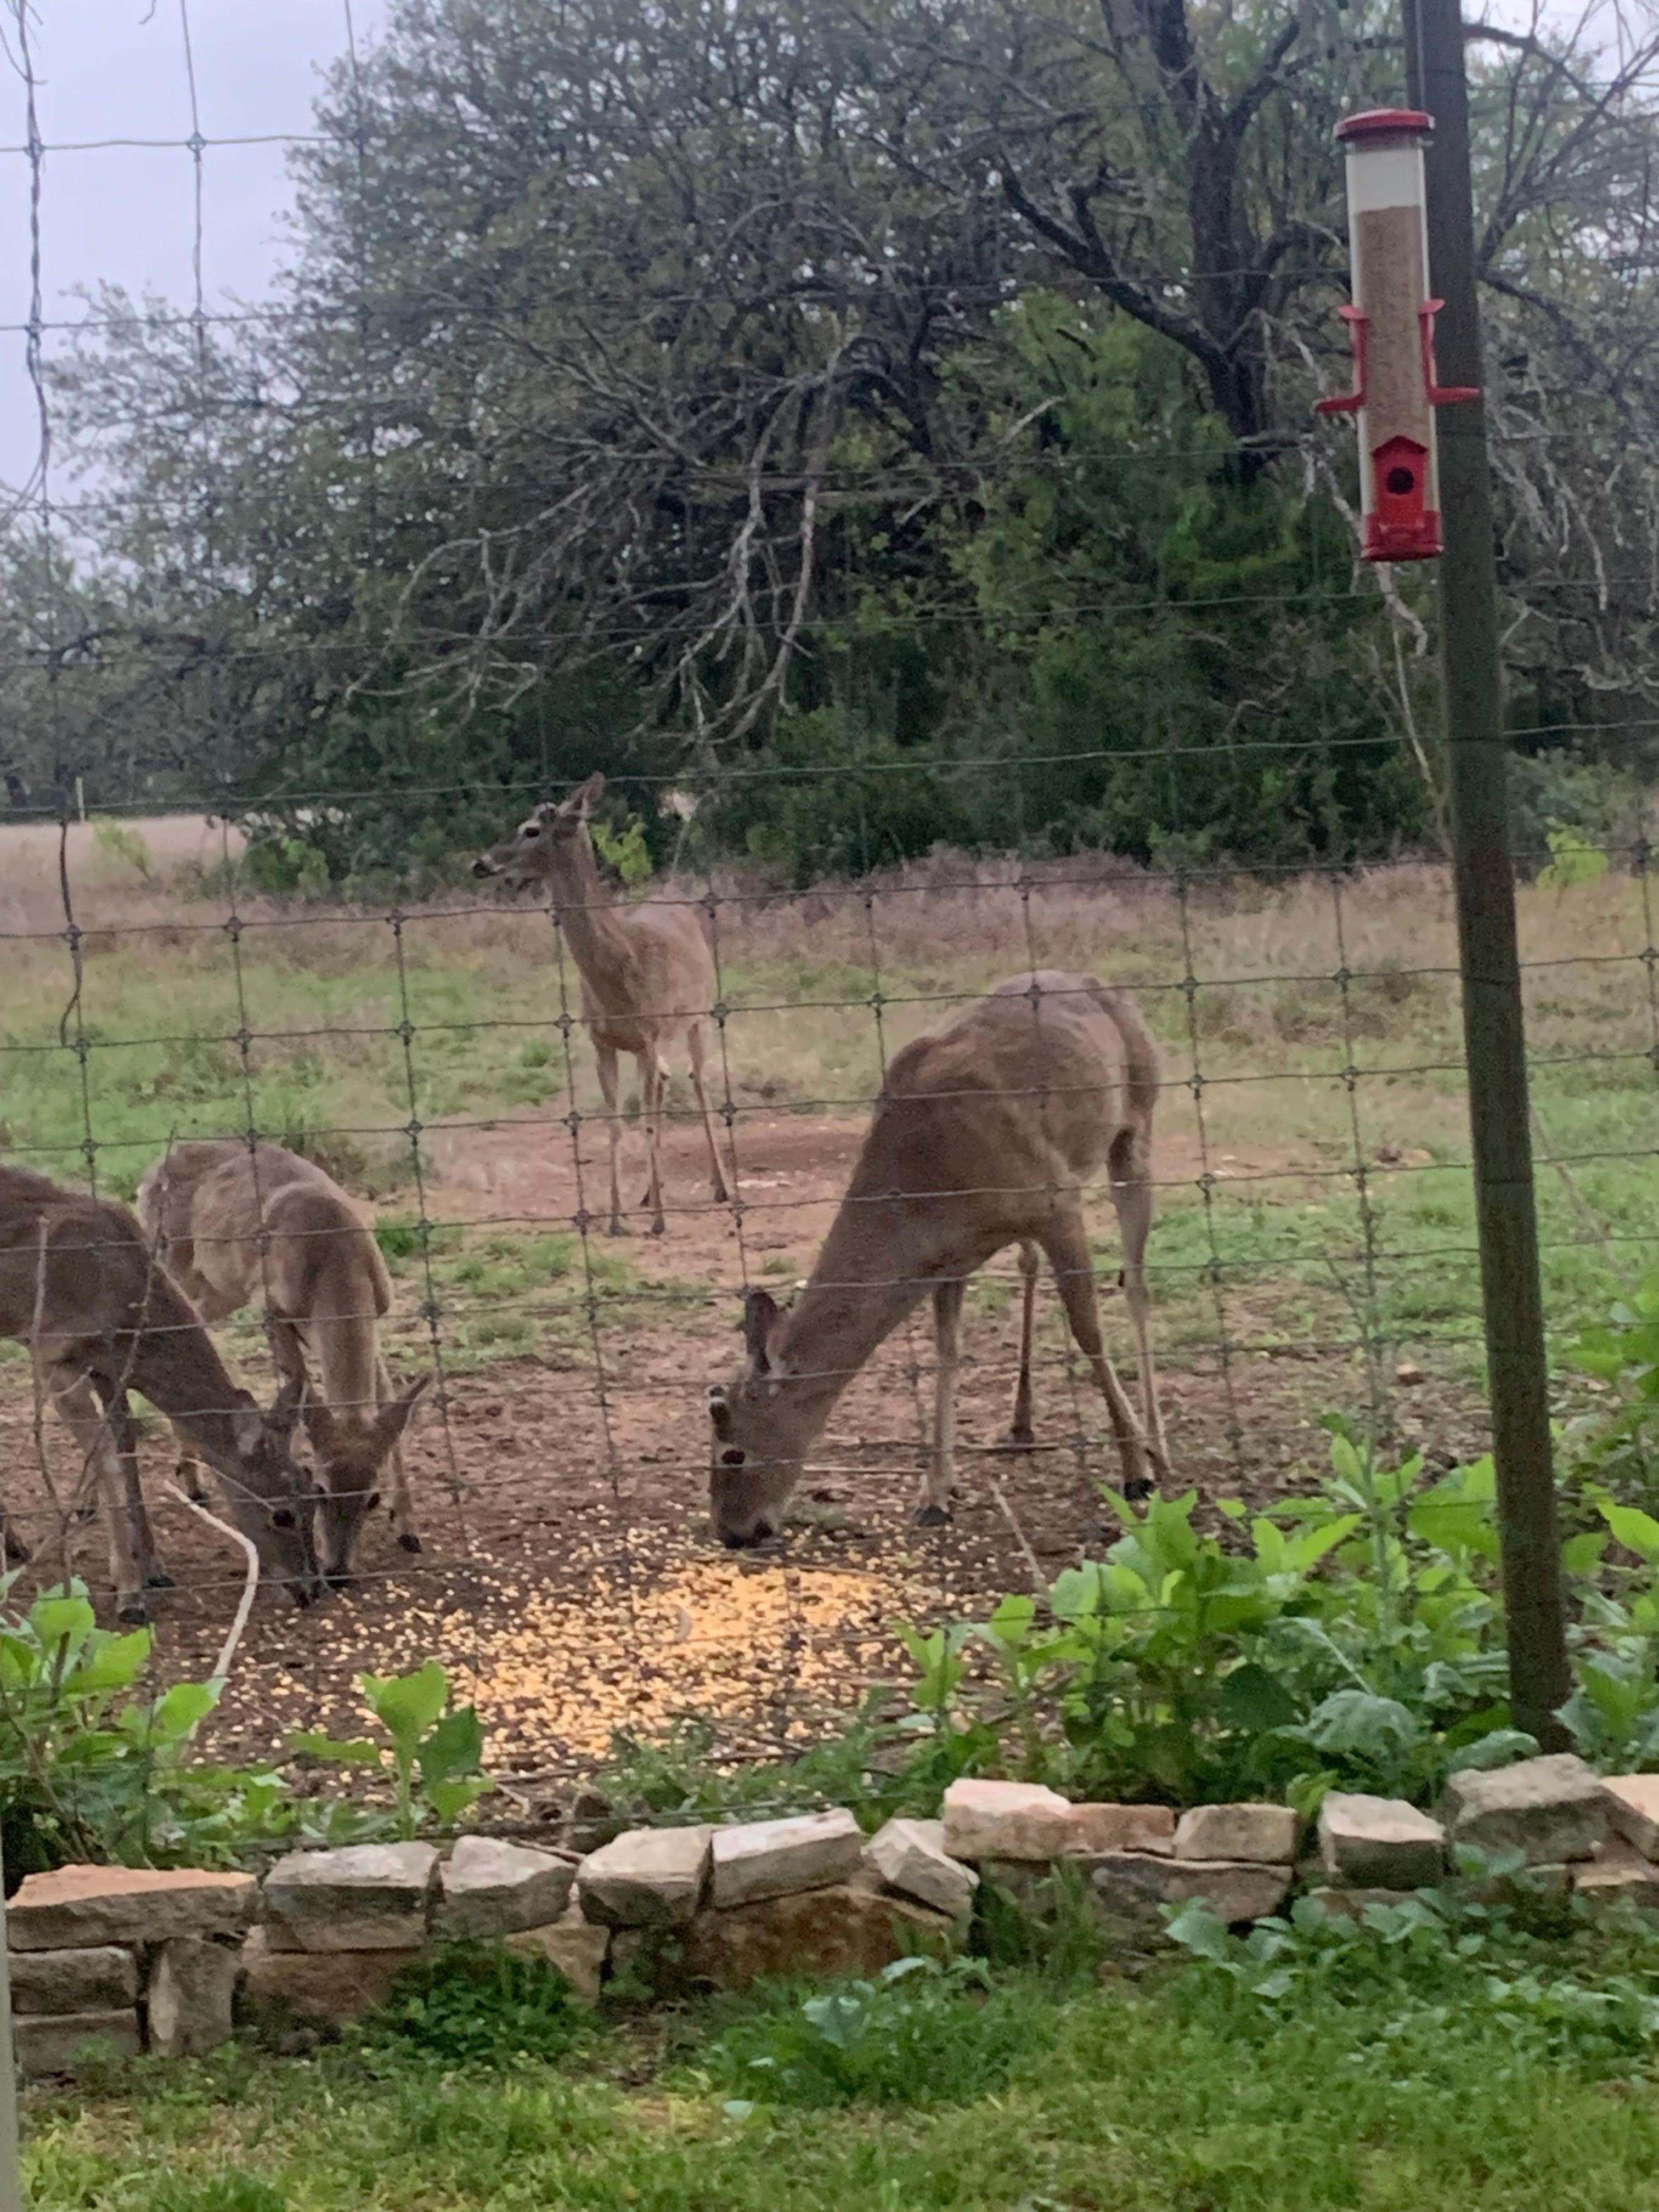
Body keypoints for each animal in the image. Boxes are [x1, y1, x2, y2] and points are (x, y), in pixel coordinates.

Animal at [0, 1163, 323, 1623]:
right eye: (281, 1515)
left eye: (315, 1496)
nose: (313, 1588)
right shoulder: (54, 1353)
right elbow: (105, 1458)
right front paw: (129, 1593)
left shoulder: (110, 1368)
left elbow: (126, 1446)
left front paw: (154, 1569)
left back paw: (15, 1544)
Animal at [136, 1141, 433, 1587]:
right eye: (321, 1489)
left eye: (372, 1498)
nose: (337, 1572)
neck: (333, 1257)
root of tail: (149, 1174)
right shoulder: (272, 1310)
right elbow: (296, 1389)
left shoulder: (378, 1313)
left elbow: (387, 1397)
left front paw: (409, 1528)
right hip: (174, 1264)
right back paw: (188, 1483)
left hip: (221, 1288)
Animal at [472, 773, 733, 1237]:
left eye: (531, 830)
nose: (480, 863)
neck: (618, 973)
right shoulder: (602, 1041)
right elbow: (615, 1125)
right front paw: (617, 1217)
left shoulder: (648, 1033)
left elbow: (644, 1118)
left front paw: (659, 1221)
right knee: (667, 1080)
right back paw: (650, 1193)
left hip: (697, 1016)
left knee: (698, 1080)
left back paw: (720, 1187)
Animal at [704, 971, 1171, 1548]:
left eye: (733, 1452)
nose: (732, 1531)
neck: (927, 1183)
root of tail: (1107, 986)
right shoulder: (952, 1256)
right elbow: (948, 1352)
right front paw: (935, 1494)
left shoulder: (1055, 1199)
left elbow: (1089, 1332)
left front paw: (1136, 1472)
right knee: (1031, 1267)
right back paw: (1021, 1423)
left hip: (1137, 1121)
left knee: (1136, 1282)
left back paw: (1157, 1445)